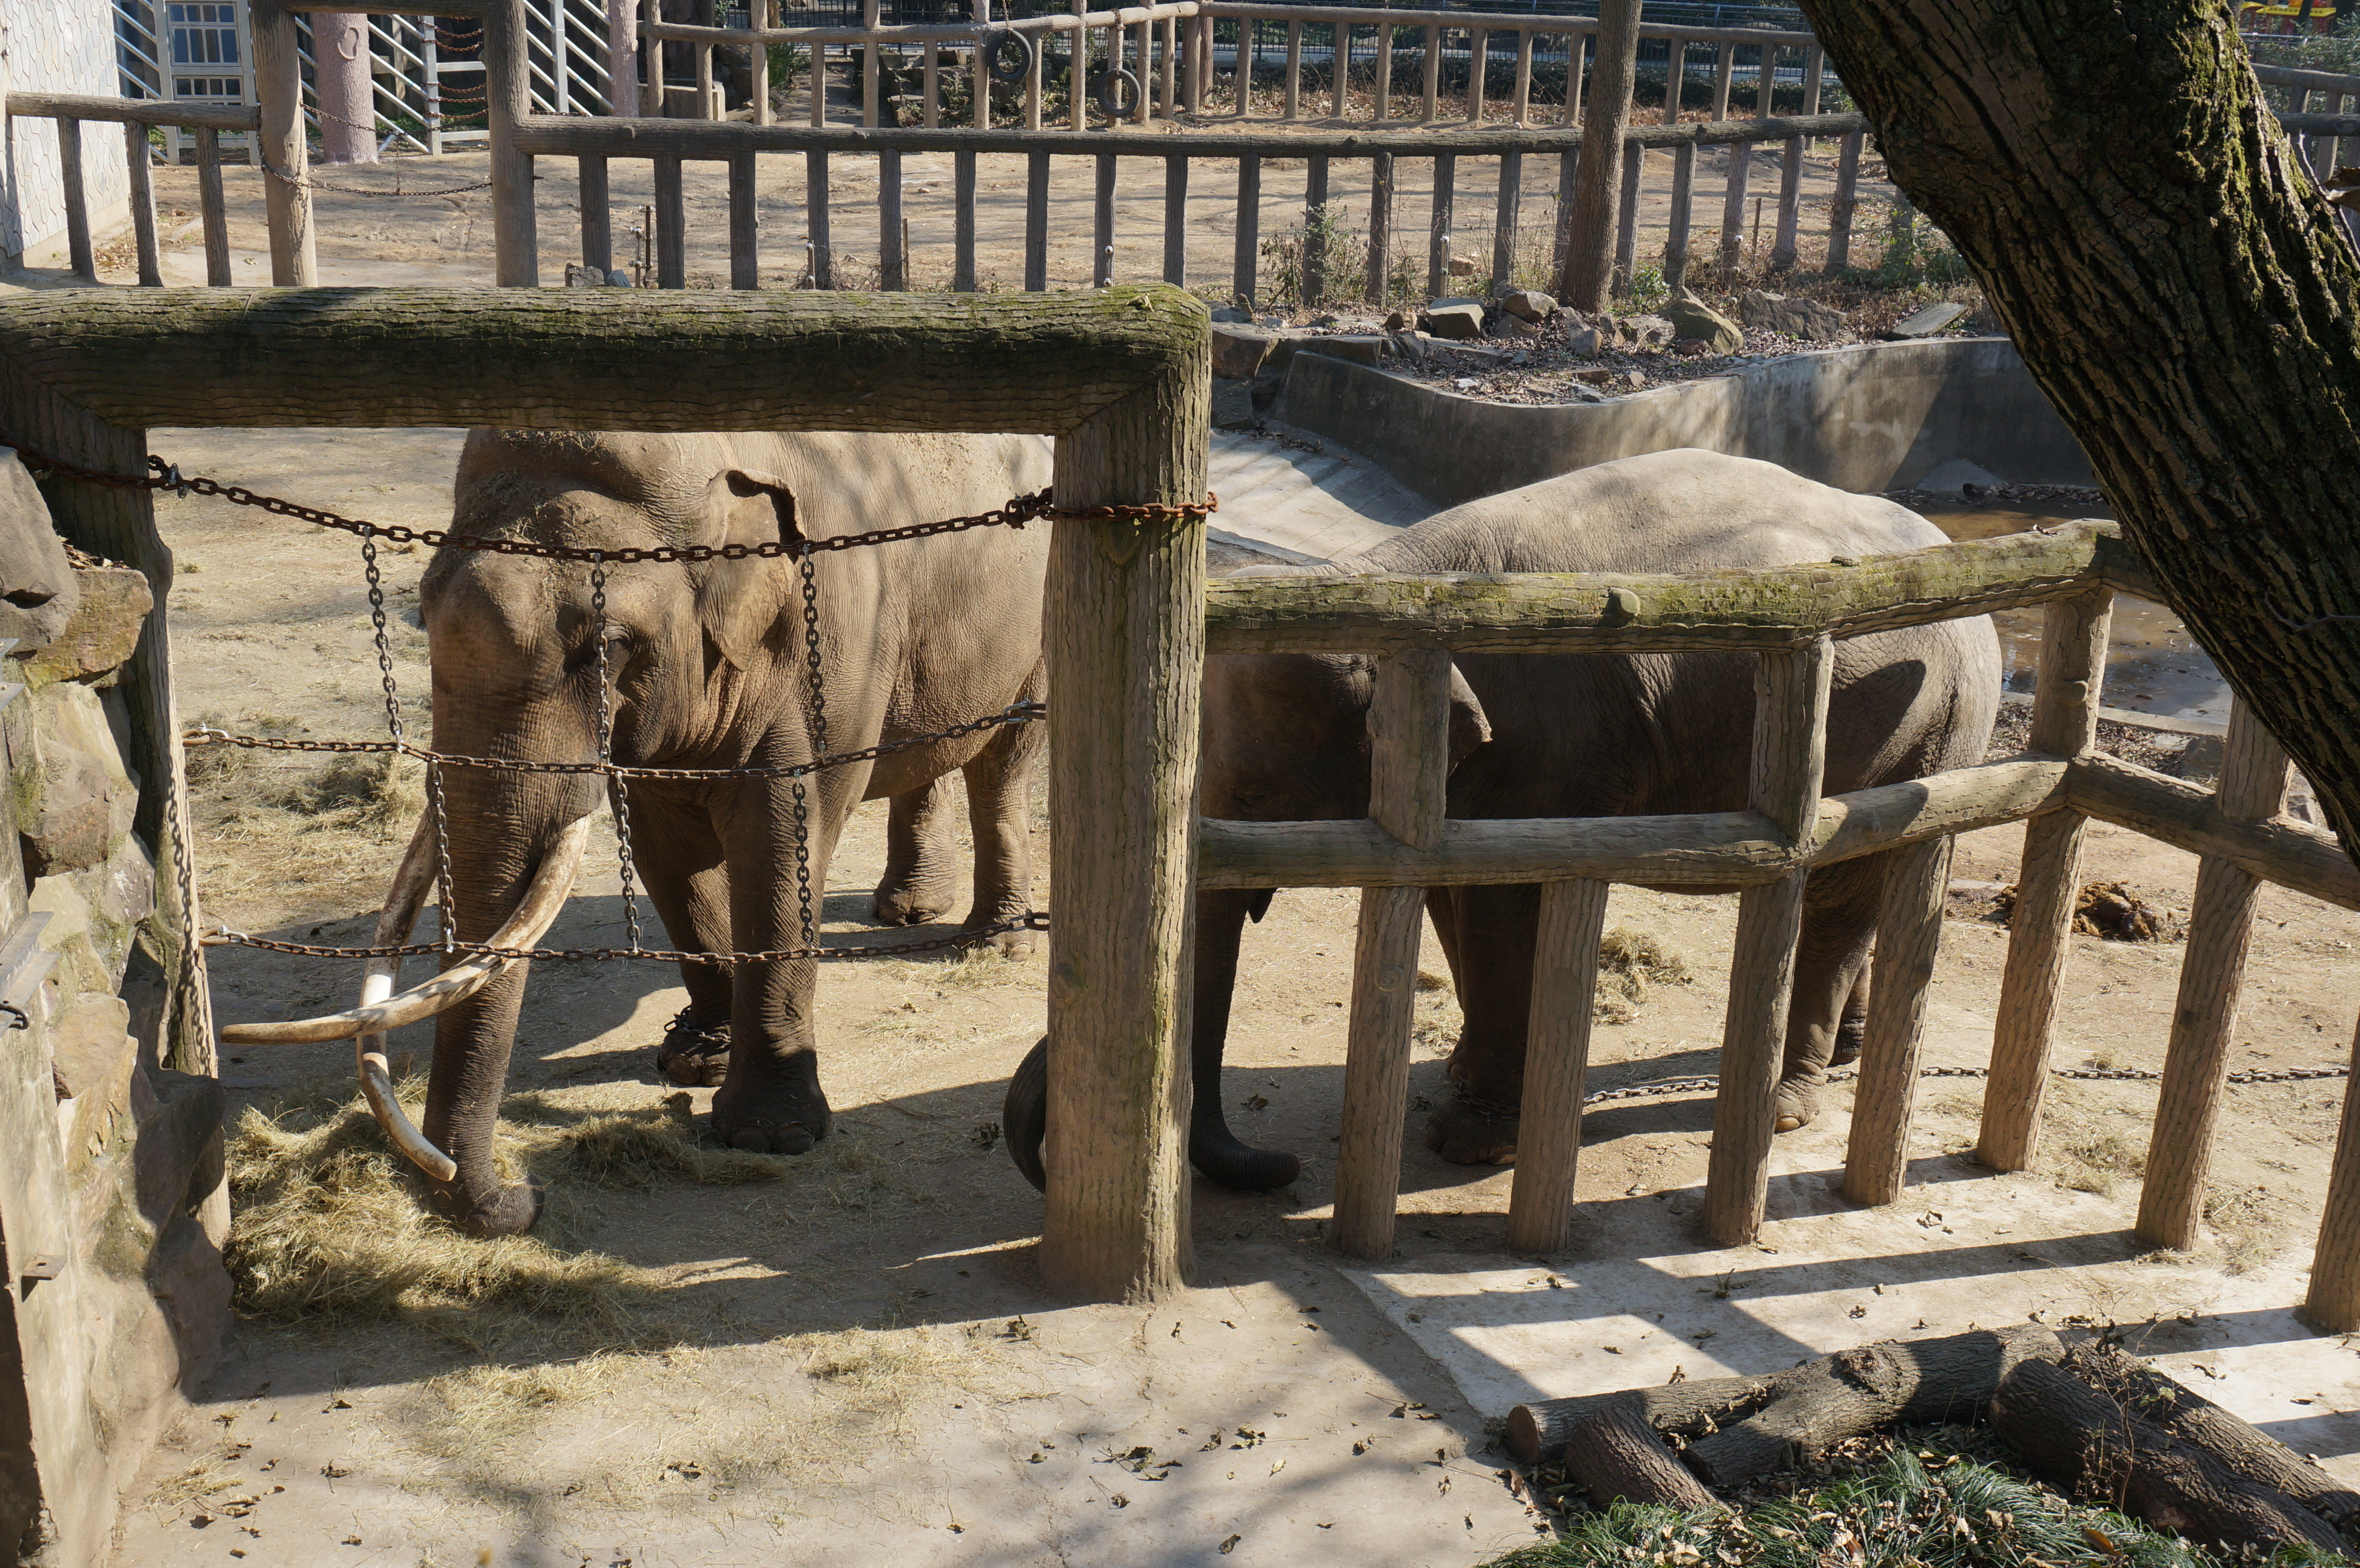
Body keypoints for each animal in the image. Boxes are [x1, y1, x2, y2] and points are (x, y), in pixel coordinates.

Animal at [223, 429, 1052, 1237]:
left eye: (608, 646)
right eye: (422, 619)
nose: (520, 1200)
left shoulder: (837, 633)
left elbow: (782, 848)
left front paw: (768, 1135)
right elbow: (664, 849)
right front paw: (694, 1060)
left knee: (1005, 763)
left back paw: (992, 941)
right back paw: (906, 910)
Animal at [1005, 446, 2001, 1195]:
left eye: (1252, 799)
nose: (1281, 1161)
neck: (1385, 584)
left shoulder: (1537, 751)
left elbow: (1499, 907)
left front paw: (1468, 1142)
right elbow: (1455, 900)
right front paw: (1458, 1085)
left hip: (1921, 726)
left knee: (1840, 889)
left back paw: (1790, 1101)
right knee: (1874, 875)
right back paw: (1845, 1055)